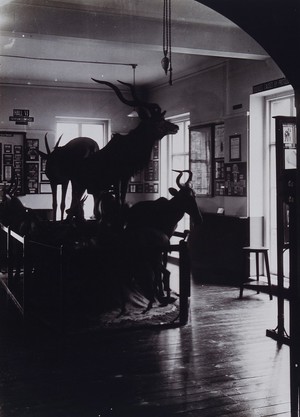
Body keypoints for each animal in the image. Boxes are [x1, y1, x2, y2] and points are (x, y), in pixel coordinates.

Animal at [68, 79, 178, 219]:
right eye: (158, 120)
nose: (175, 127)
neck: (130, 145)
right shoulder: (119, 177)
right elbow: (120, 199)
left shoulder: (124, 177)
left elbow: (122, 198)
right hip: (79, 186)